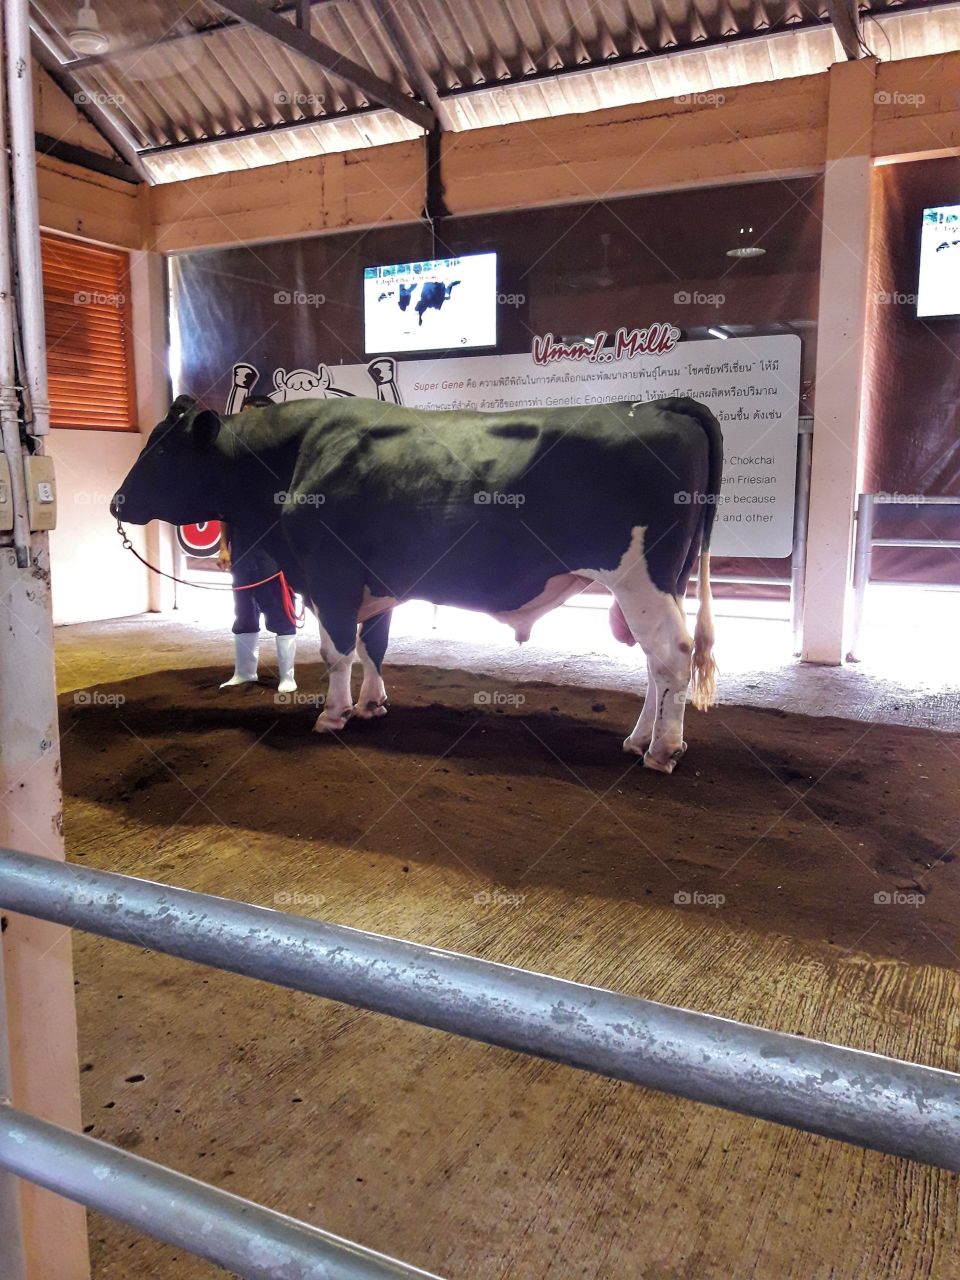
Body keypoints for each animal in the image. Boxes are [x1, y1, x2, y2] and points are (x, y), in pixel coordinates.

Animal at [111, 394, 722, 772]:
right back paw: (640, 739)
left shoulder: (330, 572)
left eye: (161, 449)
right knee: (657, 664)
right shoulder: (375, 579)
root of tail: (662, 403)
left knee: (671, 656)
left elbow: (337, 650)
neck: (294, 456)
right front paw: (371, 705)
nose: (116, 502)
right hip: (662, 582)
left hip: (640, 577)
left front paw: (332, 714)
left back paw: (663, 750)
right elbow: (372, 645)